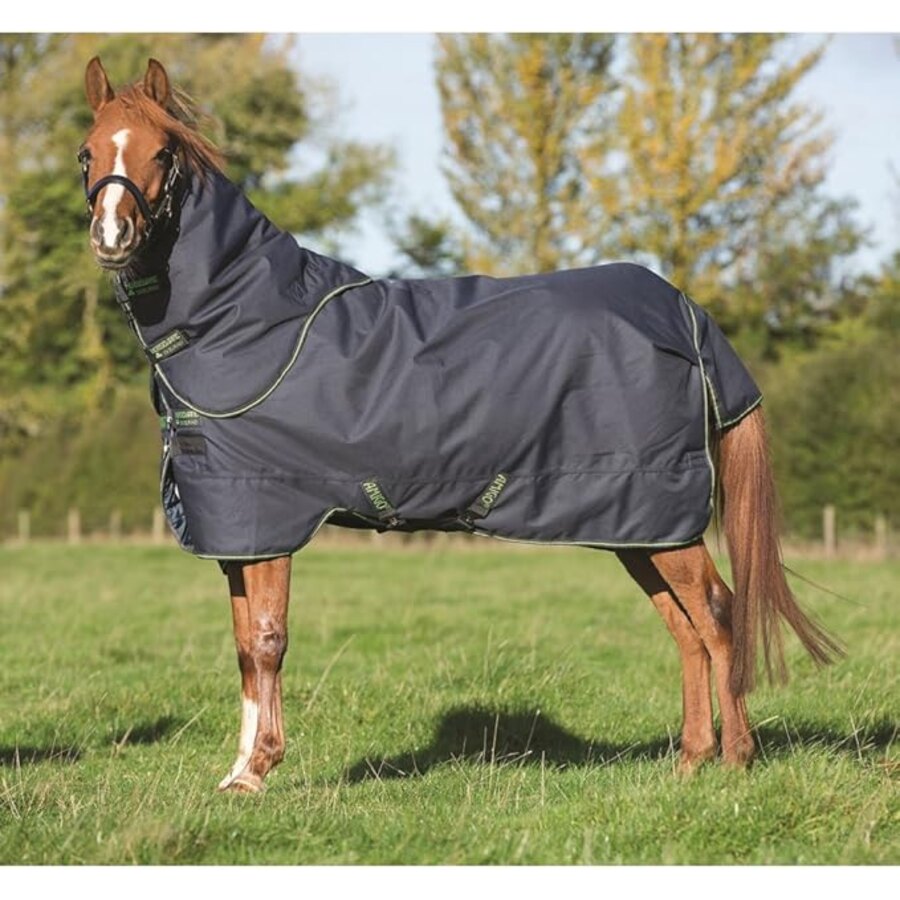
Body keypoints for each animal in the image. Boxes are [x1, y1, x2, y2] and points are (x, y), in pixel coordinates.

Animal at [79, 57, 842, 793]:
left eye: (163, 152)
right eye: (89, 152)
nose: (112, 237)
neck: (248, 321)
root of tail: (685, 313)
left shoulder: (268, 514)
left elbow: (267, 640)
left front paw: (258, 770)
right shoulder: (237, 531)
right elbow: (242, 647)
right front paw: (237, 770)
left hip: (661, 515)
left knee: (716, 614)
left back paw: (735, 760)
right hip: (638, 525)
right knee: (685, 629)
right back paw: (689, 761)